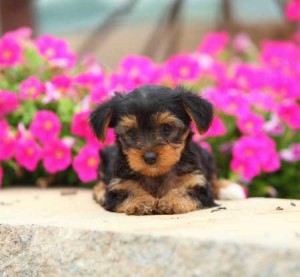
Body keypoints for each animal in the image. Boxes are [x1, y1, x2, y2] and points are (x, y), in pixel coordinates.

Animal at [90, 85, 245, 215]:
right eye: (132, 132)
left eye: (166, 128)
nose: (150, 157)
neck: (157, 174)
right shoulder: (118, 185)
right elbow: (128, 191)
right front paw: (142, 201)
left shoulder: (197, 182)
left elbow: (187, 190)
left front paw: (171, 201)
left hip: (206, 156)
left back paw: (230, 189)